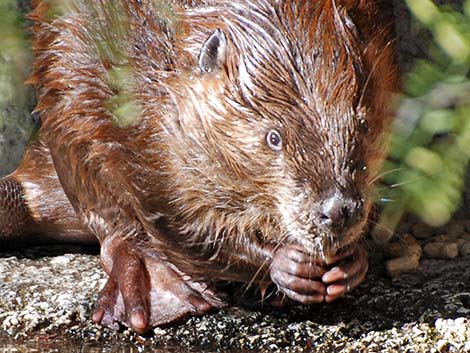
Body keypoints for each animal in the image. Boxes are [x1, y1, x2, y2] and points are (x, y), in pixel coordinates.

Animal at [0, 0, 396, 332]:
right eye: (273, 137)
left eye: (362, 123)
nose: (339, 209)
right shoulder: (150, 130)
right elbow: (178, 222)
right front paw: (288, 264)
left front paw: (351, 262)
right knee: (111, 228)